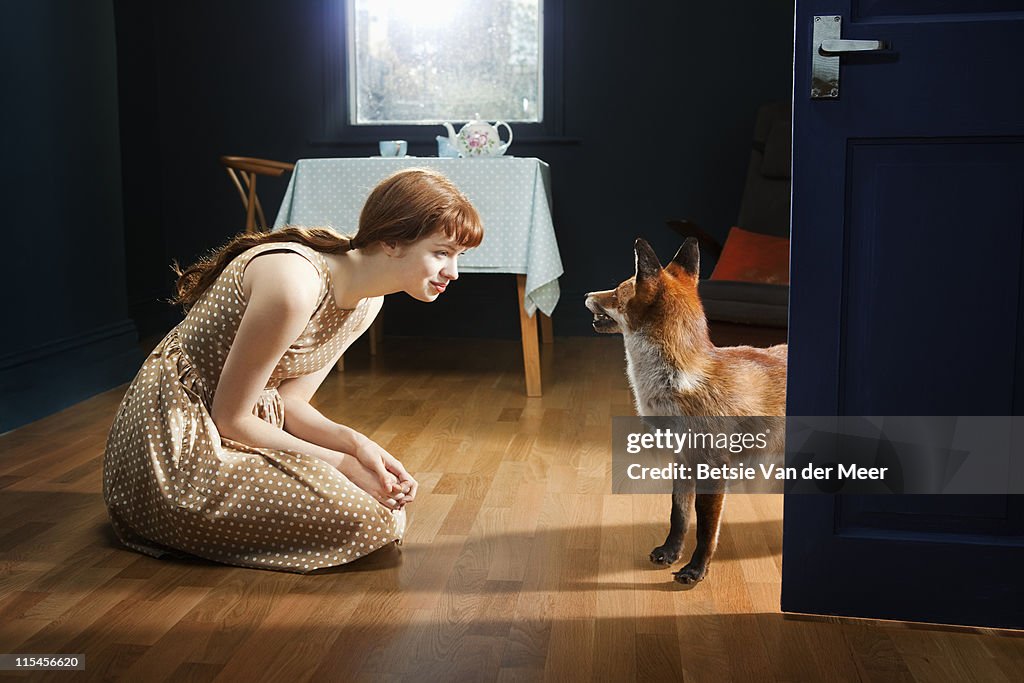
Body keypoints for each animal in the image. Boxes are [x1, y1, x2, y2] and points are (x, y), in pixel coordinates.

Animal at [585, 237, 782, 585]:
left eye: (617, 292)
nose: (585, 296)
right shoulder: (682, 457)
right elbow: (678, 514)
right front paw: (670, 552)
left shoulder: (714, 466)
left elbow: (705, 529)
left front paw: (696, 569)